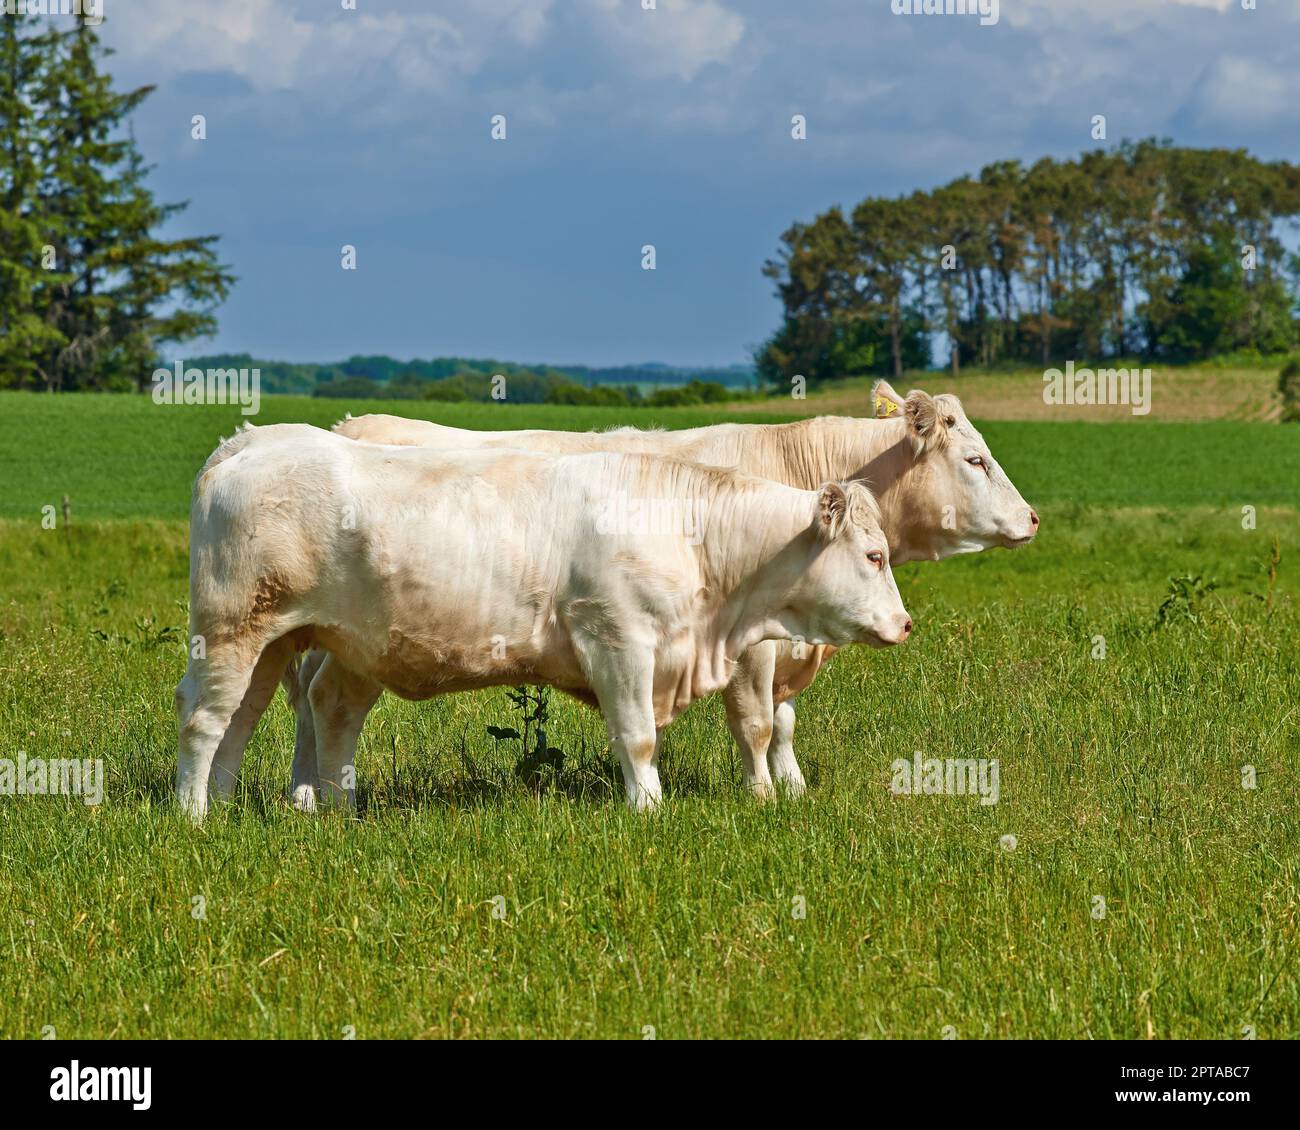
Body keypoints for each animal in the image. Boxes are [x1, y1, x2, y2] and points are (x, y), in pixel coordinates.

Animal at [175, 423, 915, 821]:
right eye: (874, 555)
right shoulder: (616, 640)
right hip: (231, 629)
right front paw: (648, 808)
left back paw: (271, 806)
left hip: (293, 641)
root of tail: (252, 441)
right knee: (205, 718)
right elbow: (637, 736)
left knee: (273, 714)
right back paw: (193, 815)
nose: (906, 624)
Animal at [284, 382, 1034, 806]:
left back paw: (306, 796)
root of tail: (352, 425)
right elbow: (757, 721)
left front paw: (793, 788)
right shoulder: (753, 644)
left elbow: (785, 720)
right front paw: (763, 796)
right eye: (975, 459)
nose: (1031, 518)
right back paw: (310, 798)